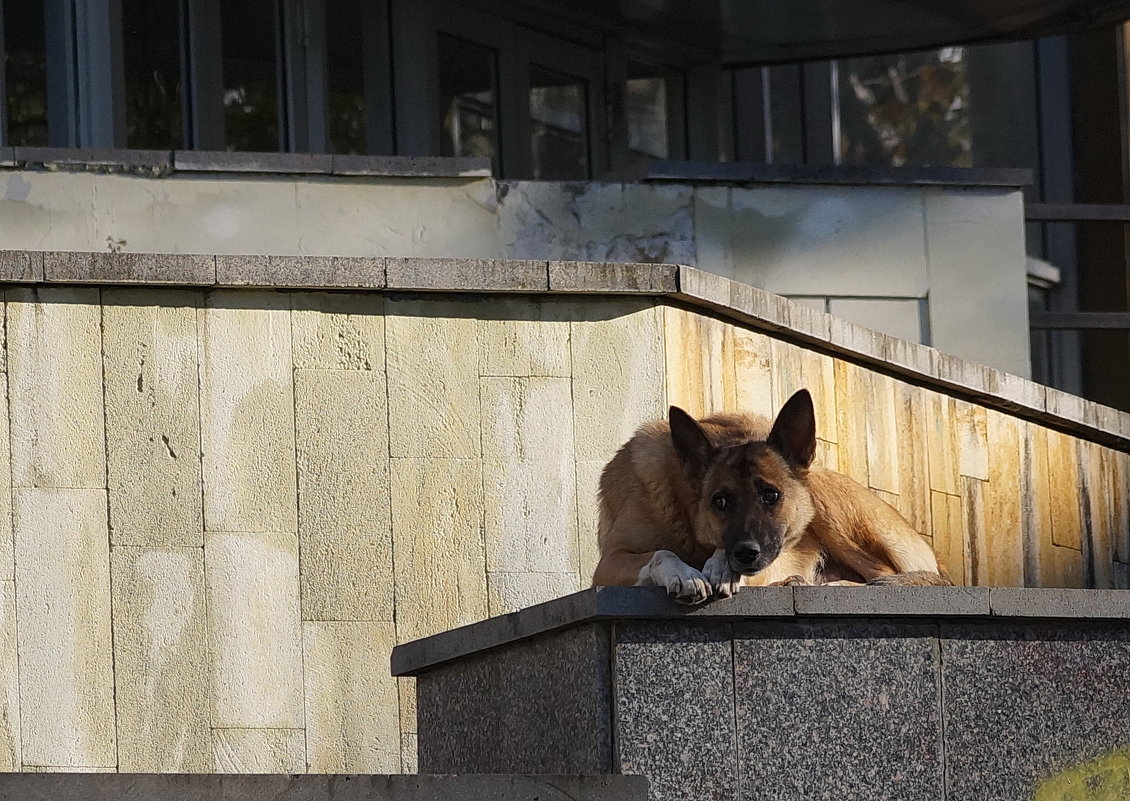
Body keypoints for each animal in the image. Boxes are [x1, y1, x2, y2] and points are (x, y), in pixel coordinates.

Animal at [592, 386, 953, 601]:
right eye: (720, 501)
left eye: (771, 496)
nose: (745, 554)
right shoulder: (607, 564)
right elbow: (661, 553)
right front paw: (684, 573)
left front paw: (720, 567)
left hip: (823, 500)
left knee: (883, 576)